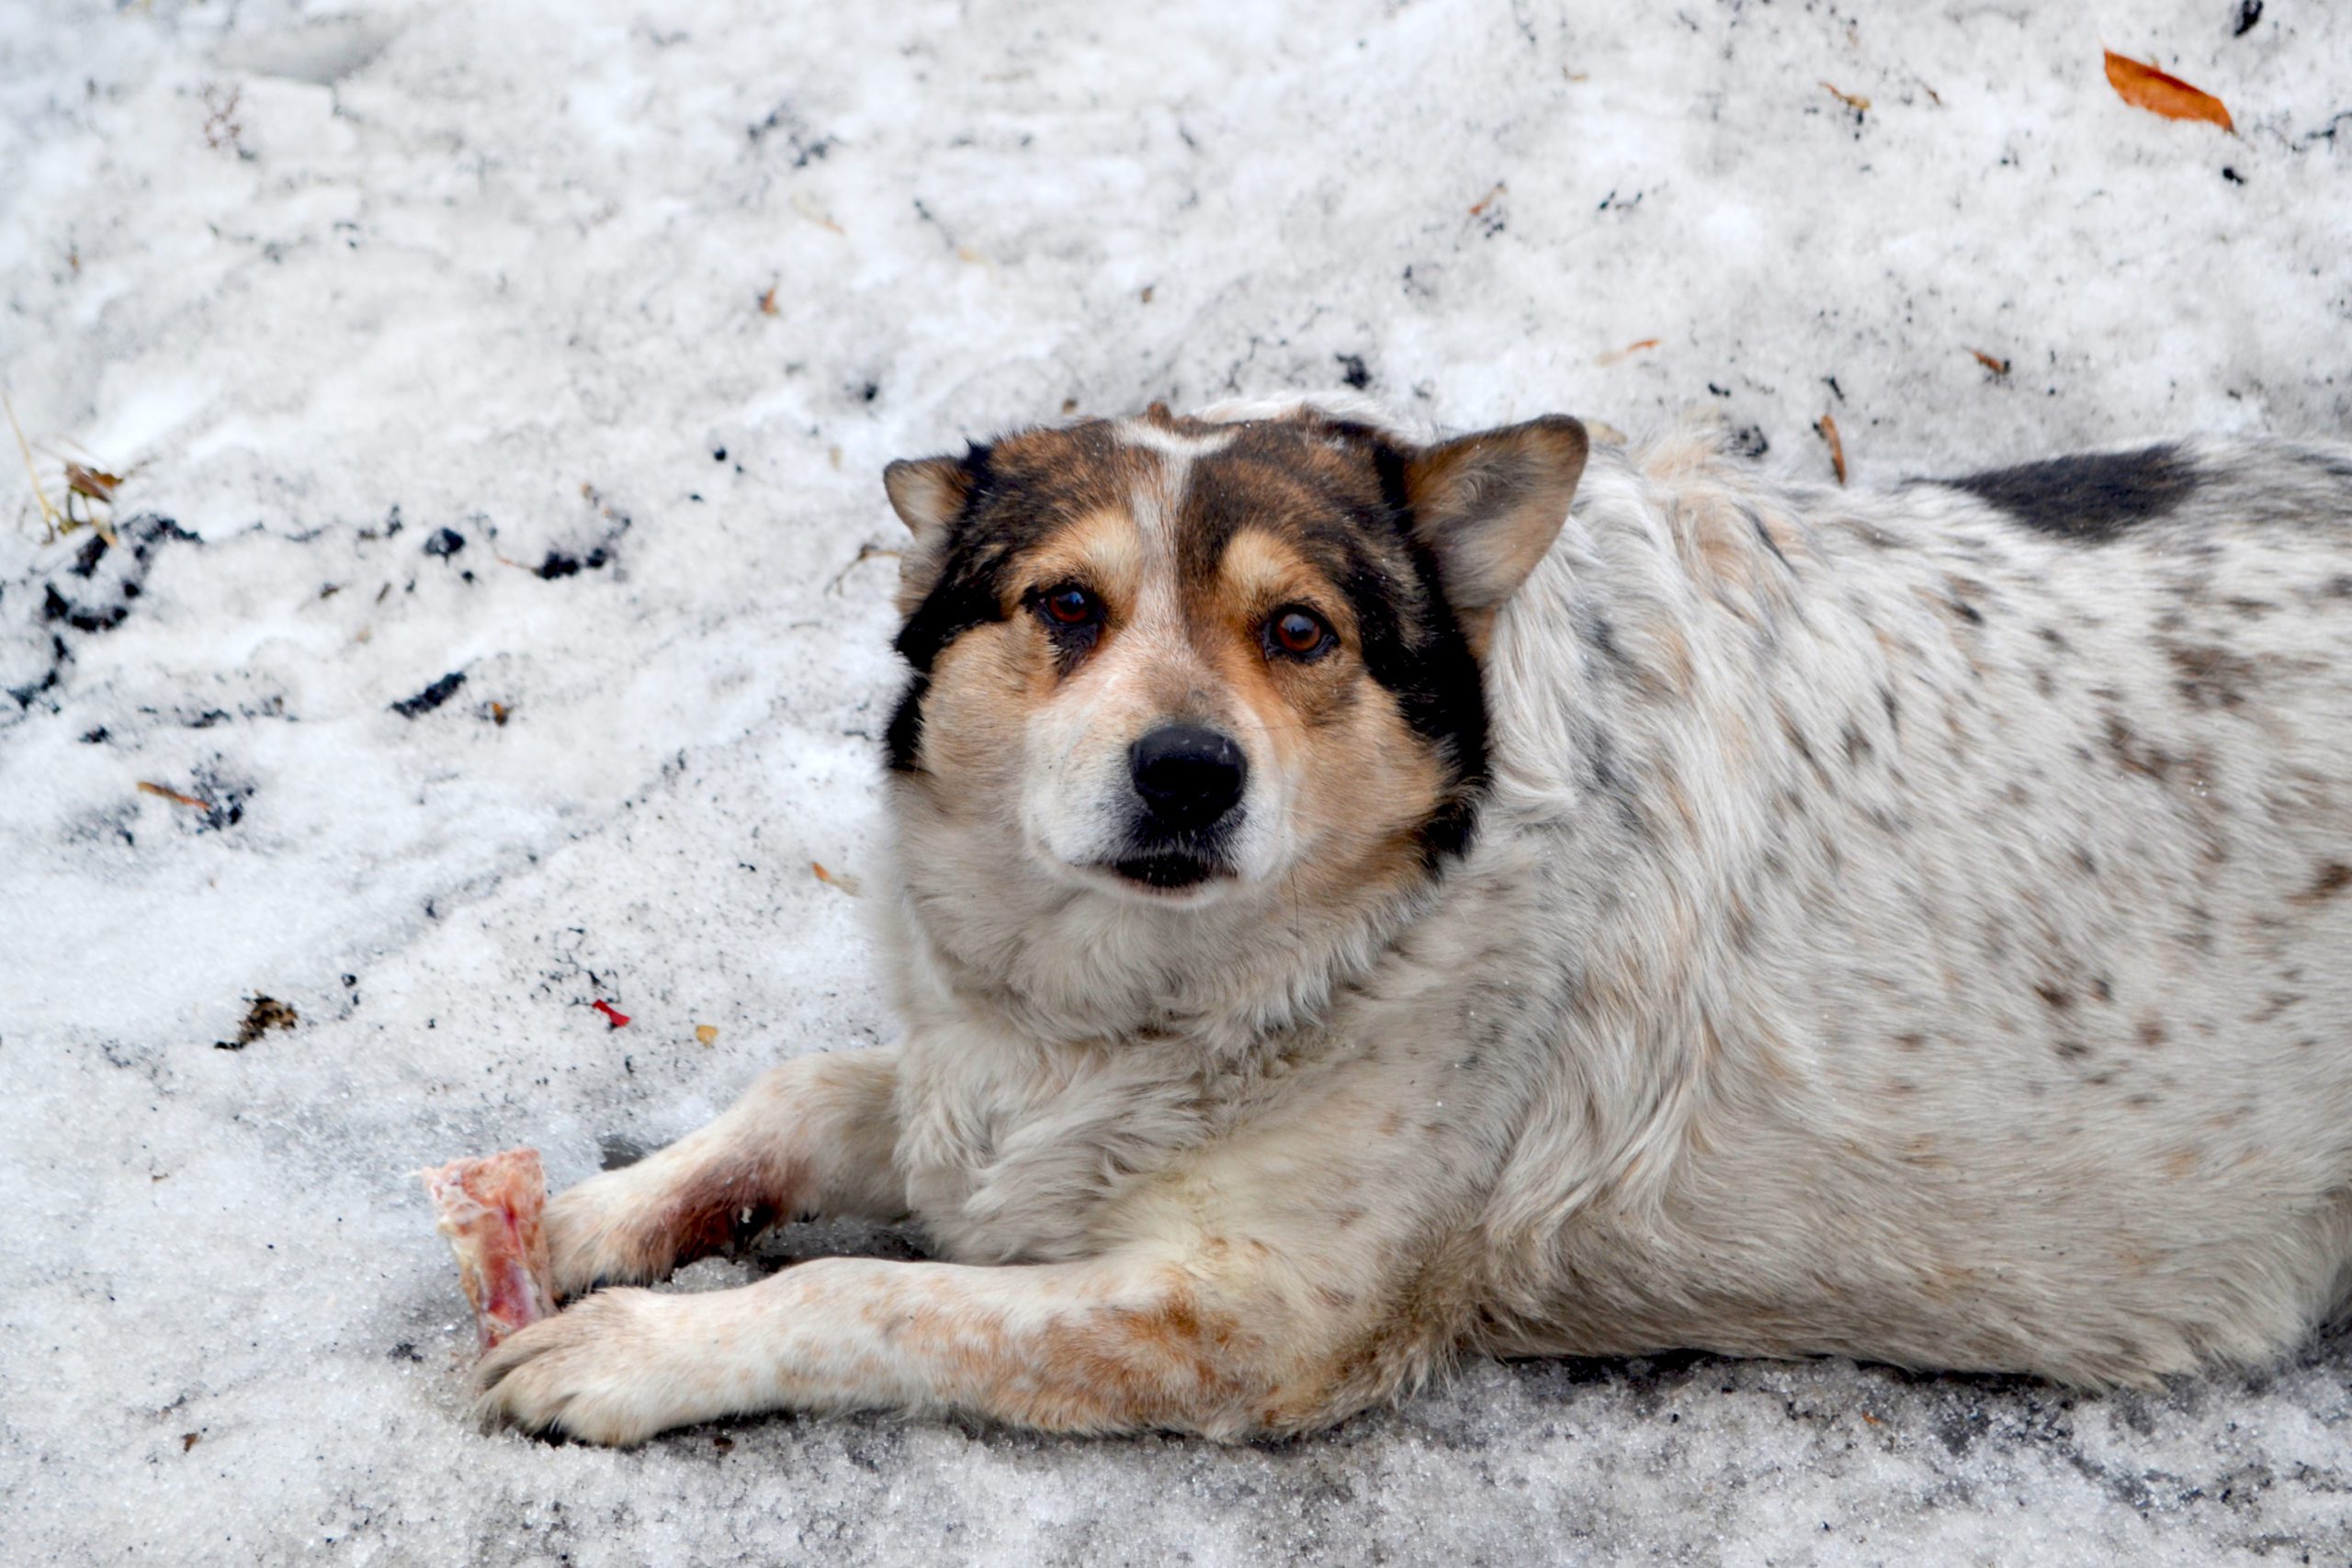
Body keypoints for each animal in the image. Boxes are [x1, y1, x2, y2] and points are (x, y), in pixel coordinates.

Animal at [463, 394, 2352, 1448]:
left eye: (1299, 632)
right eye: (1066, 608)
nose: (1187, 772)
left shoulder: (1246, 1314)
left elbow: (868, 1294)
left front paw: (631, 1349)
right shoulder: (982, 1101)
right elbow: (799, 1100)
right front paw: (581, 1218)